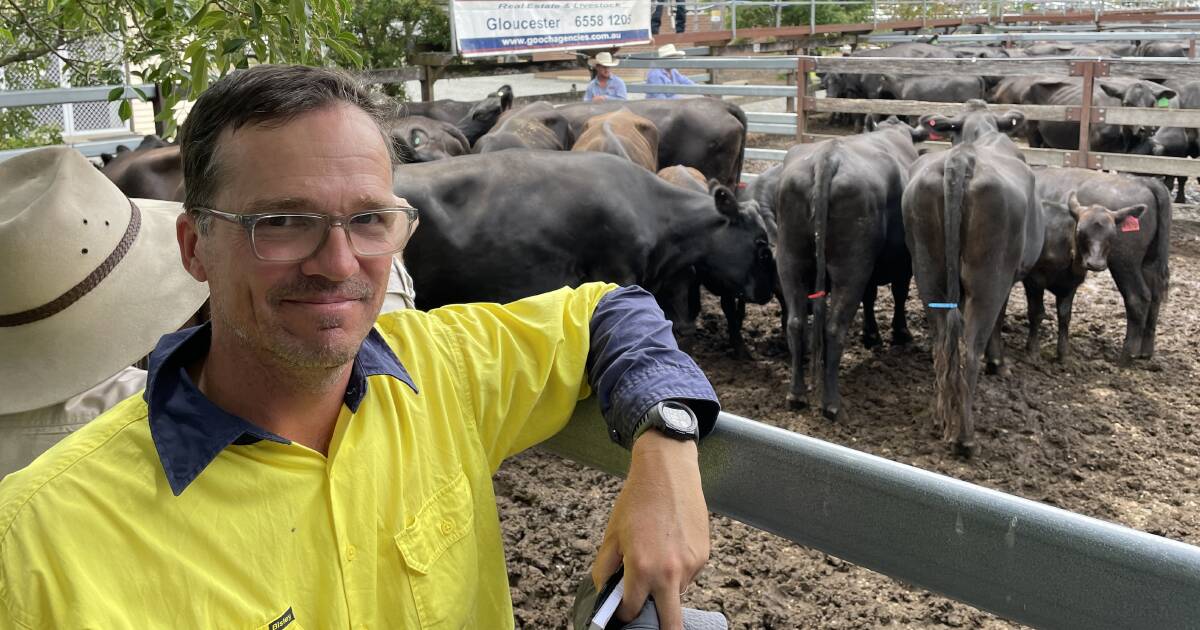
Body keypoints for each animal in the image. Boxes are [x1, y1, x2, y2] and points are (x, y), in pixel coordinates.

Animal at [777, 115, 926, 420]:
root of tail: (827, 155)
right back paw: (831, 404)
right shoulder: (903, 264)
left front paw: (871, 334)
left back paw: (796, 395)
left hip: (791, 259)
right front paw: (900, 332)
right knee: (834, 328)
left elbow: (870, 296)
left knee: (796, 323)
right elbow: (899, 295)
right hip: (850, 267)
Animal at [902, 102, 1041, 456]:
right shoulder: (1008, 276)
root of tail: (962, 159)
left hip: (928, 271)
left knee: (943, 343)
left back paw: (941, 418)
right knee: (970, 348)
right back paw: (964, 437)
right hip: (989, 277)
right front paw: (999, 362)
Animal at [1032, 166, 1171, 362]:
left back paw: (1127, 355)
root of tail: (1146, 181)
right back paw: (1145, 352)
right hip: (1149, 263)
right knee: (1155, 297)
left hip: (1125, 264)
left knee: (1138, 298)